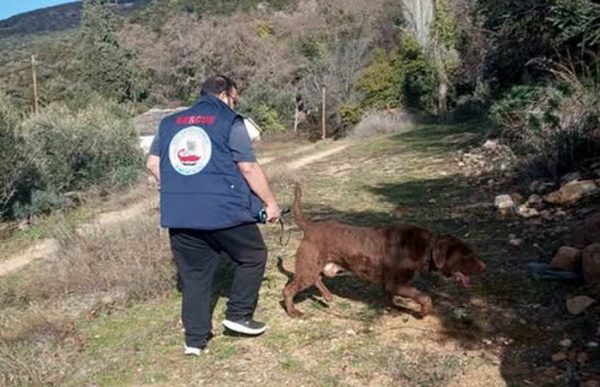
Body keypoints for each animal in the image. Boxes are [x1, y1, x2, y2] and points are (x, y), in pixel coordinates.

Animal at [284, 185, 486, 318]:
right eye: (466, 254)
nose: (484, 267)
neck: (426, 248)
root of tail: (309, 227)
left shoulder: (390, 286)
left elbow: (390, 300)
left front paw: (396, 309)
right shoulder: (396, 284)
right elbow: (425, 297)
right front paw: (424, 312)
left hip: (318, 267)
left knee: (316, 279)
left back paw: (327, 296)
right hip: (308, 268)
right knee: (288, 289)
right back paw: (293, 312)